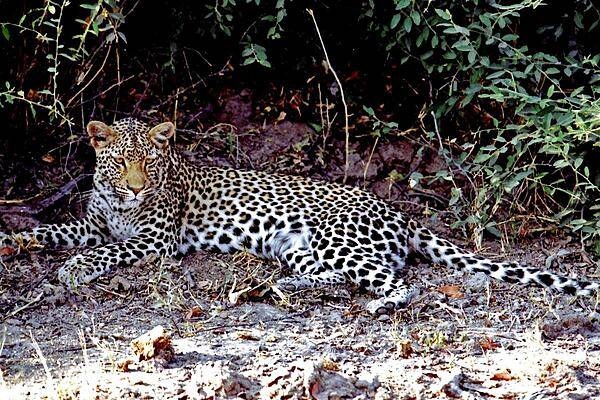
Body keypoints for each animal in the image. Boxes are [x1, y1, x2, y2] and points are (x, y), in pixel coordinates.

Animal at [0, 119, 596, 312]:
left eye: (150, 163)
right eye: (121, 161)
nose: (133, 187)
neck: (118, 204)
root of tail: (398, 212)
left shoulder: (153, 242)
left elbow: (107, 250)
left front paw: (74, 270)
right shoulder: (90, 222)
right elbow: (58, 229)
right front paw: (18, 240)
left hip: (339, 240)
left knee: (397, 282)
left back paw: (377, 304)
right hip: (300, 247)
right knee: (332, 277)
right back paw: (282, 287)